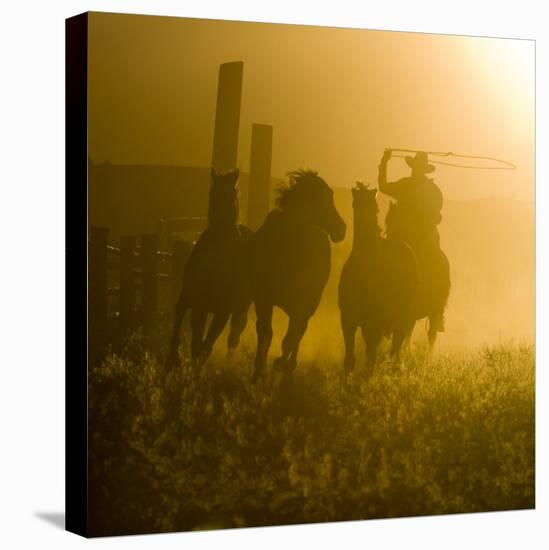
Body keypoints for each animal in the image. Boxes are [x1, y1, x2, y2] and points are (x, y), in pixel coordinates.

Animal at [167, 166, 253, 368]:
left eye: (233, 193)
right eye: (212, 193)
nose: (228, 231)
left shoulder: (222, 312)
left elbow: (206, 346)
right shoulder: (195, 301)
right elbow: (191, 335)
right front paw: (174, 359)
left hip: (239, 310)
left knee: (233, 338)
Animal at [249, 169, 344, 384]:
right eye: (323, 198)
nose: (341, 229)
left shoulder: (302, 306)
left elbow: (290, 338)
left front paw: (280, 364)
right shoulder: (263, 299)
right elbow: (265, 332)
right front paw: (259, 371)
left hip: (308, 306)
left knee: (298, 333)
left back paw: (288, 368)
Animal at [338, 185, 416, 376]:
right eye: (355, 203)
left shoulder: (371, 323)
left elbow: (370, 356)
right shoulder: (348, 320)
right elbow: (349, 359)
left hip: (401, 320)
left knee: (394, 351)